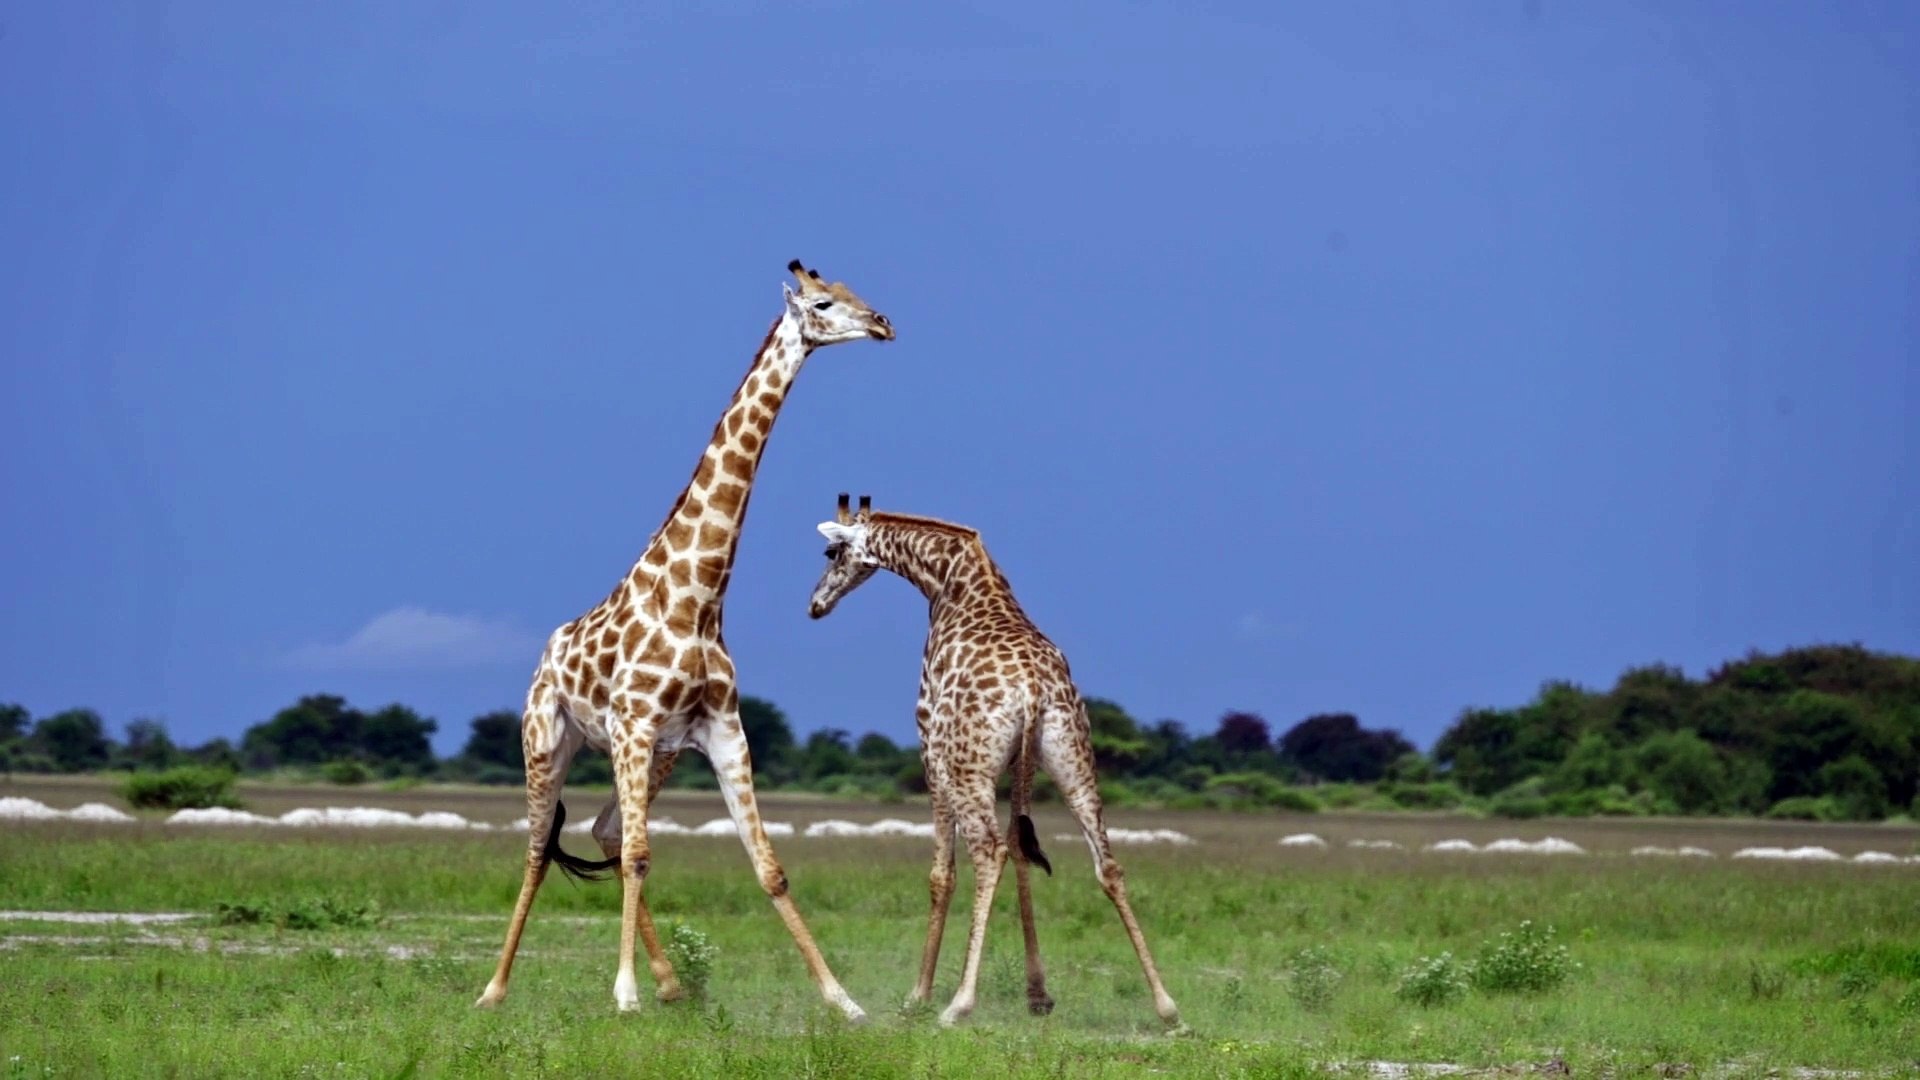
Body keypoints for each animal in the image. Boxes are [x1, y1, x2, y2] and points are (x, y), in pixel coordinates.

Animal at [480, 255, 898, 1014]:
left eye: (853, 291)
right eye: (824, 303)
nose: (883, 323)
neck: (700, 597)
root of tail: (546, 654)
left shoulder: (722, 731)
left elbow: (770, 868)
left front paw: (844, 1001)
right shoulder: (636, 724)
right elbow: (645, 855)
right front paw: (623, 994)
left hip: (658, 755)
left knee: (605, 830)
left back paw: (673, 983)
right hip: (549, 737)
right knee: (539, 846)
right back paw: (494, 989)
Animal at [802, 491, 1175, 1022]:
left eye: (831, 553)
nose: (816, 604)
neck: (950, 582)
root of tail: (1034, 688)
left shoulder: (930, 749)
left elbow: (942, 873)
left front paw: (918, 995)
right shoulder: (1022, 765)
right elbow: (1023, 850)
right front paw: (1038, 993)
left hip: (966, 768)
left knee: (988, 850)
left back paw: (958, 1004)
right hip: (1073, 760)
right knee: (1107, 864)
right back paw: (1168, 1008)